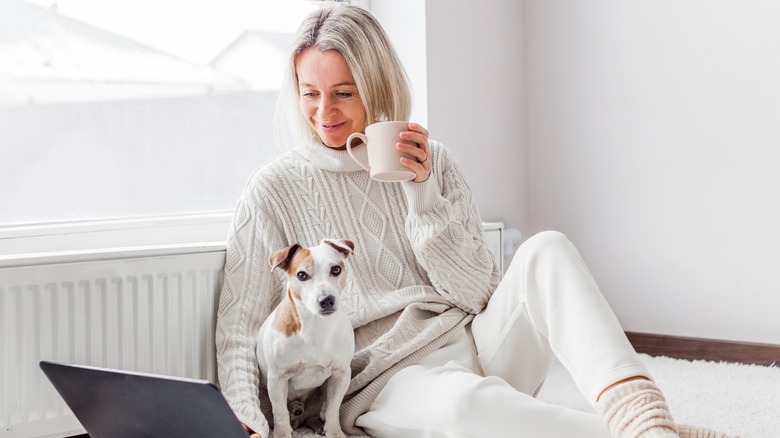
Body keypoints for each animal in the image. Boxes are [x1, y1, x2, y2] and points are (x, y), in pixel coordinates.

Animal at [256, 240, 356, 438]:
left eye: (335, 269)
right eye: (301, 275)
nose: (326, 300)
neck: (316, 325)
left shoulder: (341, 375)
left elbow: (333, 409)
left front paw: (334, 432)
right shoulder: (278, 379)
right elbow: (280, 414)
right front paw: (282, 434)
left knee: (314, 415)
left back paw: (316, 425)